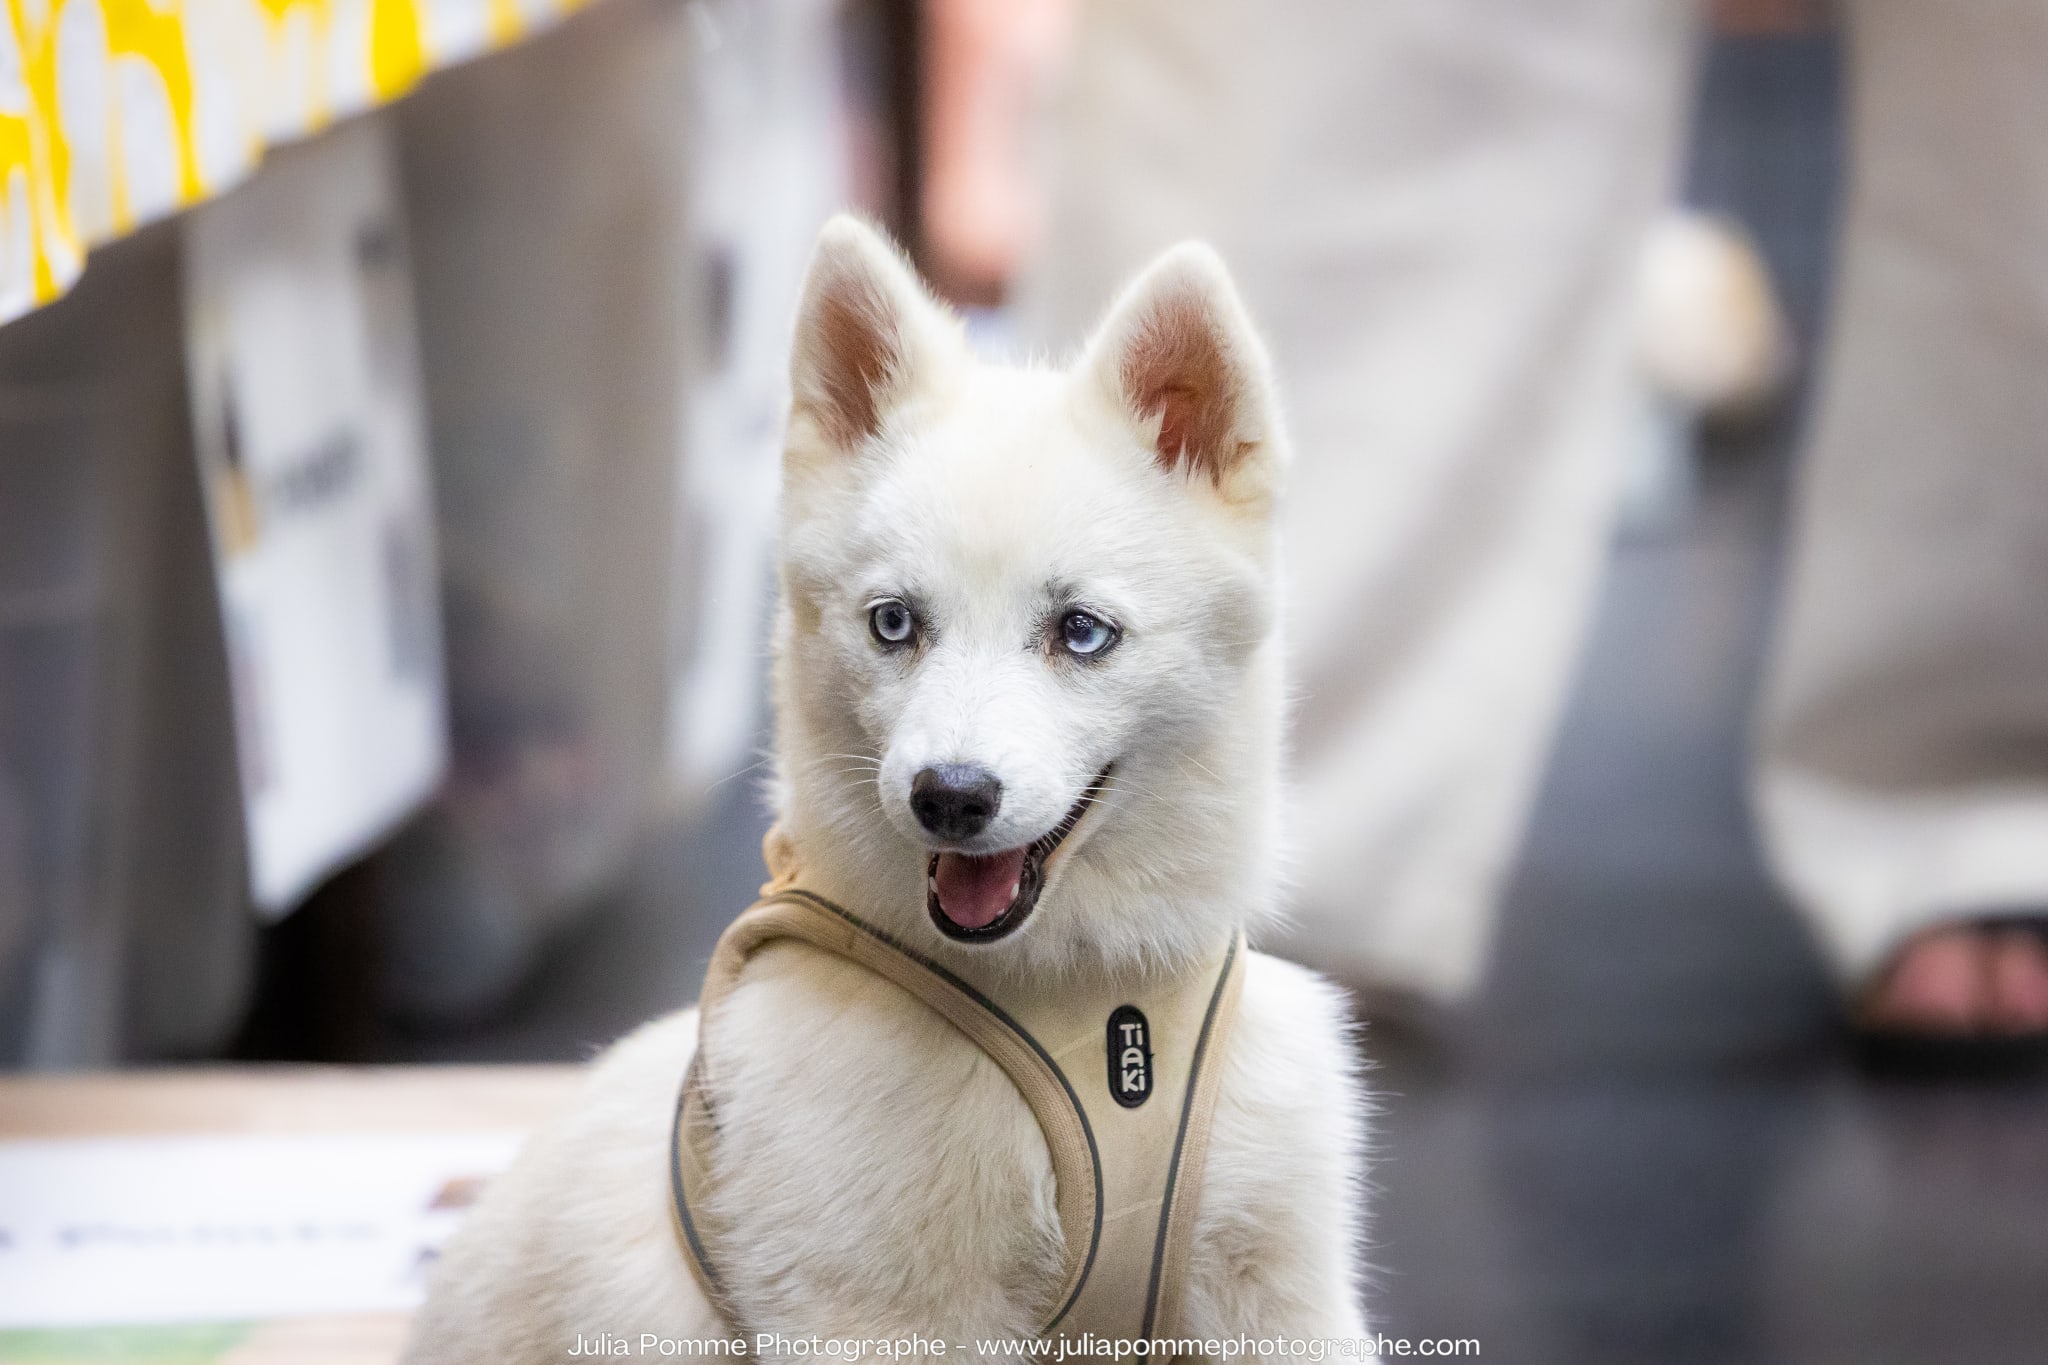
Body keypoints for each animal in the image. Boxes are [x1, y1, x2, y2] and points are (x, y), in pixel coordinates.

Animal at [403, 218, 1359, 1358]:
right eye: (893, 623)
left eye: (1082, 631)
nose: (949, 796)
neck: (1087, 997)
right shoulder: (876, 1318)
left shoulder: (1285, 1299)